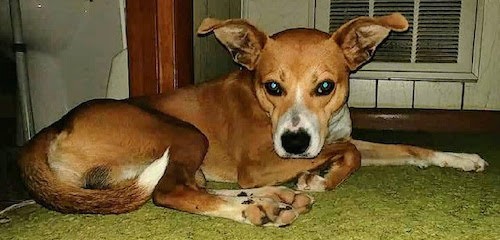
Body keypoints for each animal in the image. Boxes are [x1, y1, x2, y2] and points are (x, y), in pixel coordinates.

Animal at [18, 13, 484, 227]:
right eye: (272, 86)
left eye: (326, 86)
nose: (295, 143)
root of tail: (48, 130)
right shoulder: (260, 162)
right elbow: (349, 151)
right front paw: (320, 178)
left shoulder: (333, 135)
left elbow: (406, 146)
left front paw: (461, 158)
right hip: (183, 135)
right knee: (170, 192)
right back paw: (255, 207)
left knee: (196, 186)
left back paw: (272, 197)